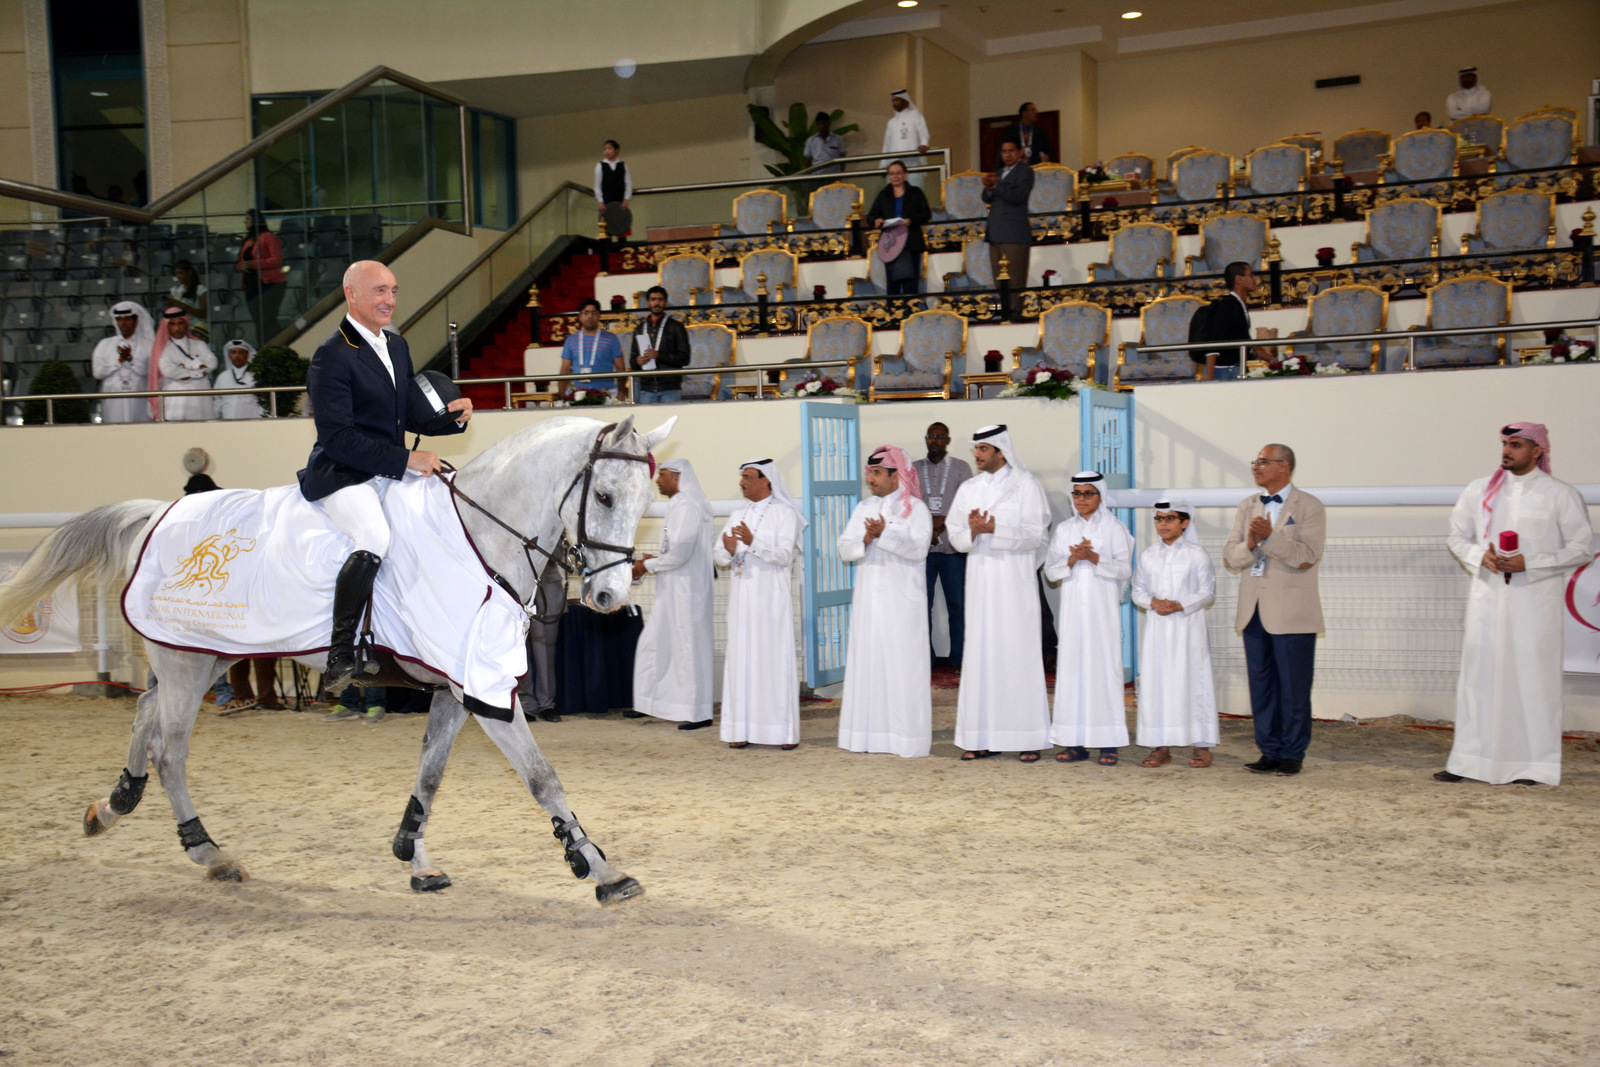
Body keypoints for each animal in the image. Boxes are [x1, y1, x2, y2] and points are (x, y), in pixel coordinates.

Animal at [0, 415, 668, 902]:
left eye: (645, 502)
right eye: (604, 495)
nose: (608, 598)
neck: (481, 537)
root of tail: (157, 512)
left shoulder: (456, 684)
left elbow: (431, 771)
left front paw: (414, 857)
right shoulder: (484, 691)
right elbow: (542, 777)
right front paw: (600, 869)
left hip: (203, 654)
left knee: (144, 717)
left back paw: (110, 807)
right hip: (188, 664)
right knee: (170, 752)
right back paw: (209, 854)